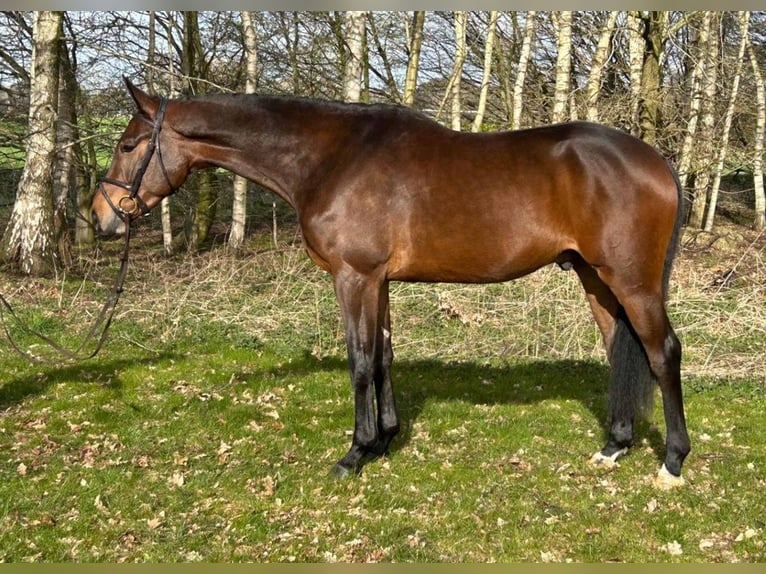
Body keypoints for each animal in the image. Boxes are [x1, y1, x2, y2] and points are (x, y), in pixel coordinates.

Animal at [92, 78, 690, 489]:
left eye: (126, 146)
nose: (101, 218)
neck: (333, 159)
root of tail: (657, 161)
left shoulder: (353, 277)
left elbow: (359, 360)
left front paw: (354, 453)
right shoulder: (378, 281)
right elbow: (382, 356)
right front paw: (384, 441)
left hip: (632, 282)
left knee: (662, 352)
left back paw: (672, 461)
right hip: (596, 279)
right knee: (620, 349)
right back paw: (614, 446)